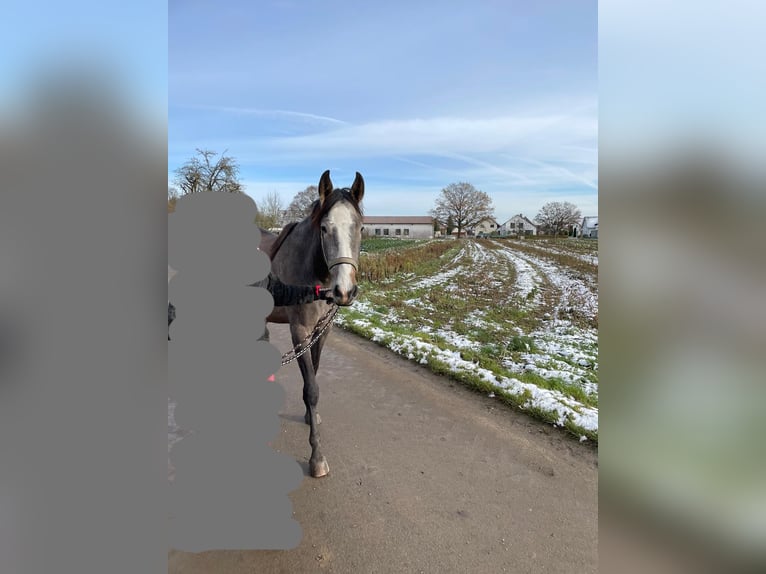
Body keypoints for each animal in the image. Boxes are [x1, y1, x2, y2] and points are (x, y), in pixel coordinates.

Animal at [260, 170, 364, 476]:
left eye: (360, 228)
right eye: (325, 229)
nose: (345, 291)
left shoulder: (322, 331)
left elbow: (314, 375)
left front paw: (311, 416)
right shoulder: (300, 332)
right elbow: (311, 388)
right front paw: (316, 456)